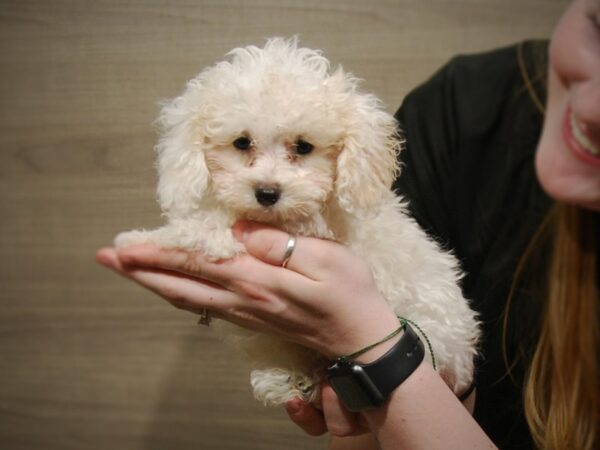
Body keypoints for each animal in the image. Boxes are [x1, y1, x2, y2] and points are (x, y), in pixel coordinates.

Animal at [117, 37, 480, 404]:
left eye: (304, 146)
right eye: (242, 142)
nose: (267, 193)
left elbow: (211, 233)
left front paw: (142, 239)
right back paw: (287, 378)